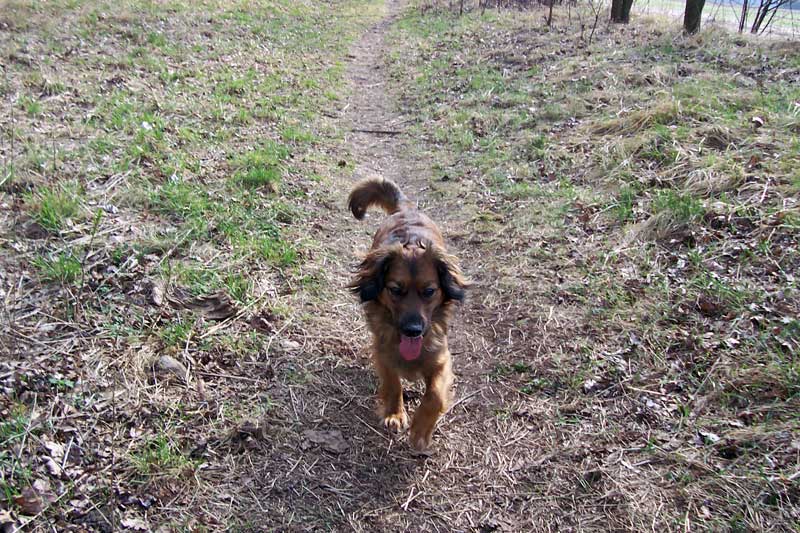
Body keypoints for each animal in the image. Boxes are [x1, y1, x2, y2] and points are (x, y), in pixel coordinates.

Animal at [347, 177, 468, 451]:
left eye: (429, 291)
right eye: (395, 290)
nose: (413, 330)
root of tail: (406, 209)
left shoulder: (441, 358)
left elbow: (434, 395)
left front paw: (420, 431)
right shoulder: (383, 350)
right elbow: (393, 383)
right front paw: (395, 414)